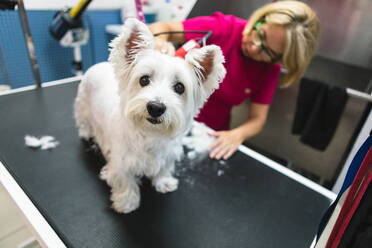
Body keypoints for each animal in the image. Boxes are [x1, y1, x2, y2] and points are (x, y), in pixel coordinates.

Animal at [74, 19, 225, 213]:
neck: (150, 134)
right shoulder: (120, 163)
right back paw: (86, 132)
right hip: (83, 107)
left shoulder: (167, 156)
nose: (155, 107)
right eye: (144, 79)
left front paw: (163, 183)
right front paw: (127, 202)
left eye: (179, 87)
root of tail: (97, 65)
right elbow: (125, 181)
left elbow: (163, 170)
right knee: (84, 123)